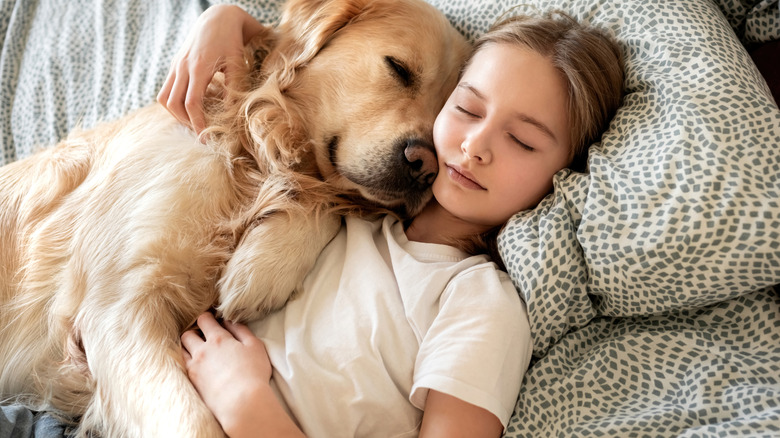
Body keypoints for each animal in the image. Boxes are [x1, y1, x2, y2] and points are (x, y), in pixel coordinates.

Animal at [0, 0, 470, 436]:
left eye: (447, 112)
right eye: (399, 69)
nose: (426, 168)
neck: (249, 150)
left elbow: (322, 207)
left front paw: (259, 272)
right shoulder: (116, 307)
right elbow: (194, 423)